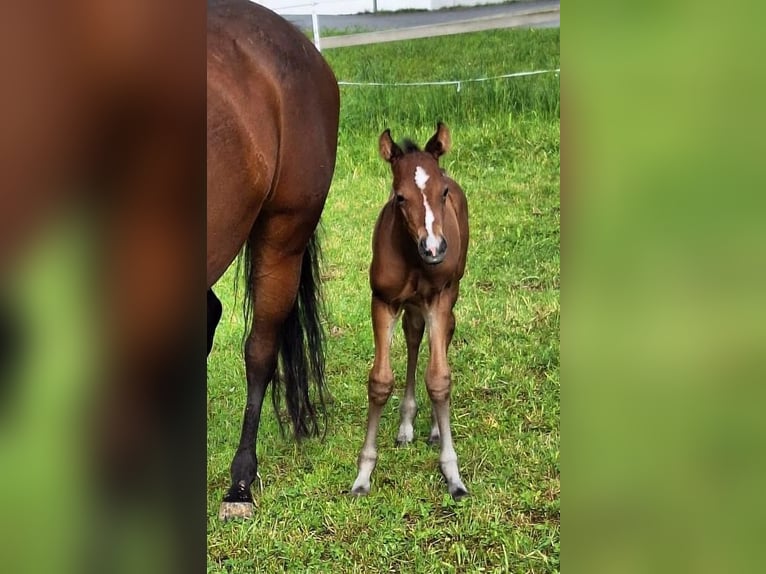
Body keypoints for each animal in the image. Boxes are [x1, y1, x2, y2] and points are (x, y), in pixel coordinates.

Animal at [351, 122, 470, 501]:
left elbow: (439, 378)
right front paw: (363, 473)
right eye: (400, 196)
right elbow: (380, 382)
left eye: (442, 191)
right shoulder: (383, 301)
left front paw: (453, 474)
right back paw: (407, 423)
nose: (434, 248)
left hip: (450, 292)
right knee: (414, 335)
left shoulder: (438, 298)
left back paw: (433, 427)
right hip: (412, 305)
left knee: (441, 337)